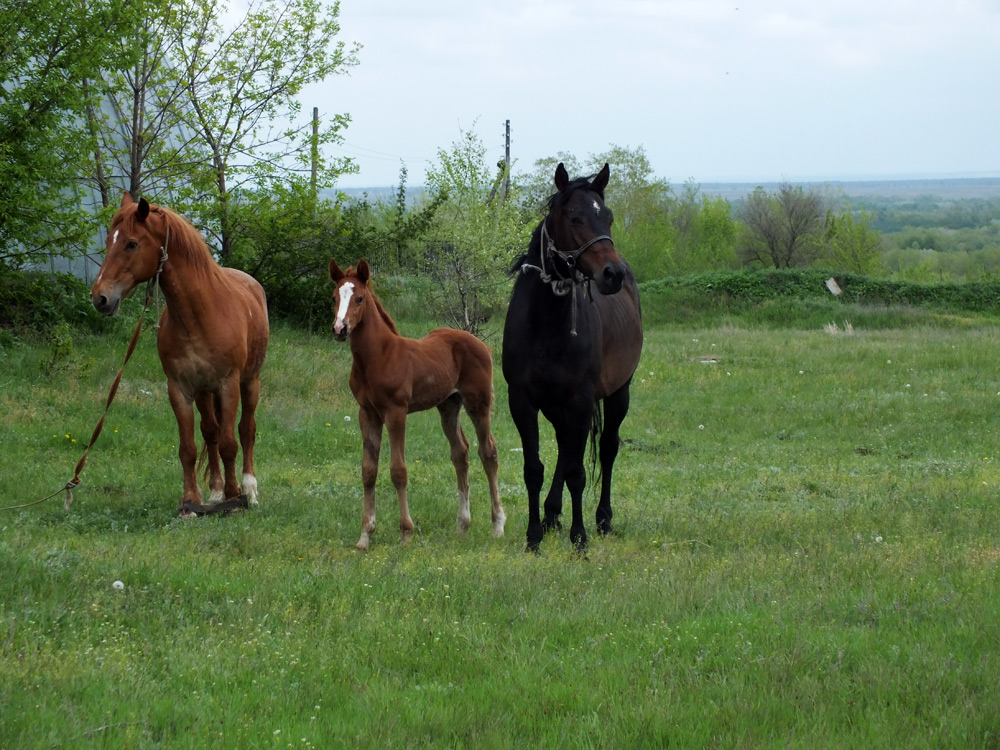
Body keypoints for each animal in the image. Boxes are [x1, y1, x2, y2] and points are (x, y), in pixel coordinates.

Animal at [90, 192, 268, 516]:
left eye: (131, 243)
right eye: (109, 240)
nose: (100, 298)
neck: (199, 315)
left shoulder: (228, 385)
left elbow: (230, 443)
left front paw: (235, 499)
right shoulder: (180, 388)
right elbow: (189, 448)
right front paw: (191, 501)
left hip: (250, 382)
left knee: (246, 430)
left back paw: (249, 489)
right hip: (204, 392)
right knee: (210, 432)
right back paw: (215, 492)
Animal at [330, 260, 508, 552]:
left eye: (359, 298)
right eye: (334, 297)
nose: (339, 329)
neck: (378, 356)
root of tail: (480, 343)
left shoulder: (396, 412)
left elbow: (398, 471)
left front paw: (406, 532)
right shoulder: (366, 413)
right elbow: (368, 471)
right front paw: (365, 535)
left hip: (478, 403)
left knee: (488, 452)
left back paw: (497, 525)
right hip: (448, 406)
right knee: (460, 453)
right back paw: (462, 526)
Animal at [504, 164, 644, 552]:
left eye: (608, 217)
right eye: (575, 217)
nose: (613, 274)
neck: (545, 324)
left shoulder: (580, 399)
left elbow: (577, 472)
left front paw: (579, 538)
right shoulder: (522, 401)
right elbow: (534, 469)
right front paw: (533, 538)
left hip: (618, 393)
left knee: (606, 449)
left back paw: (602, 519)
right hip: (557, 406)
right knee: (566, 447)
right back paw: (551, 515)